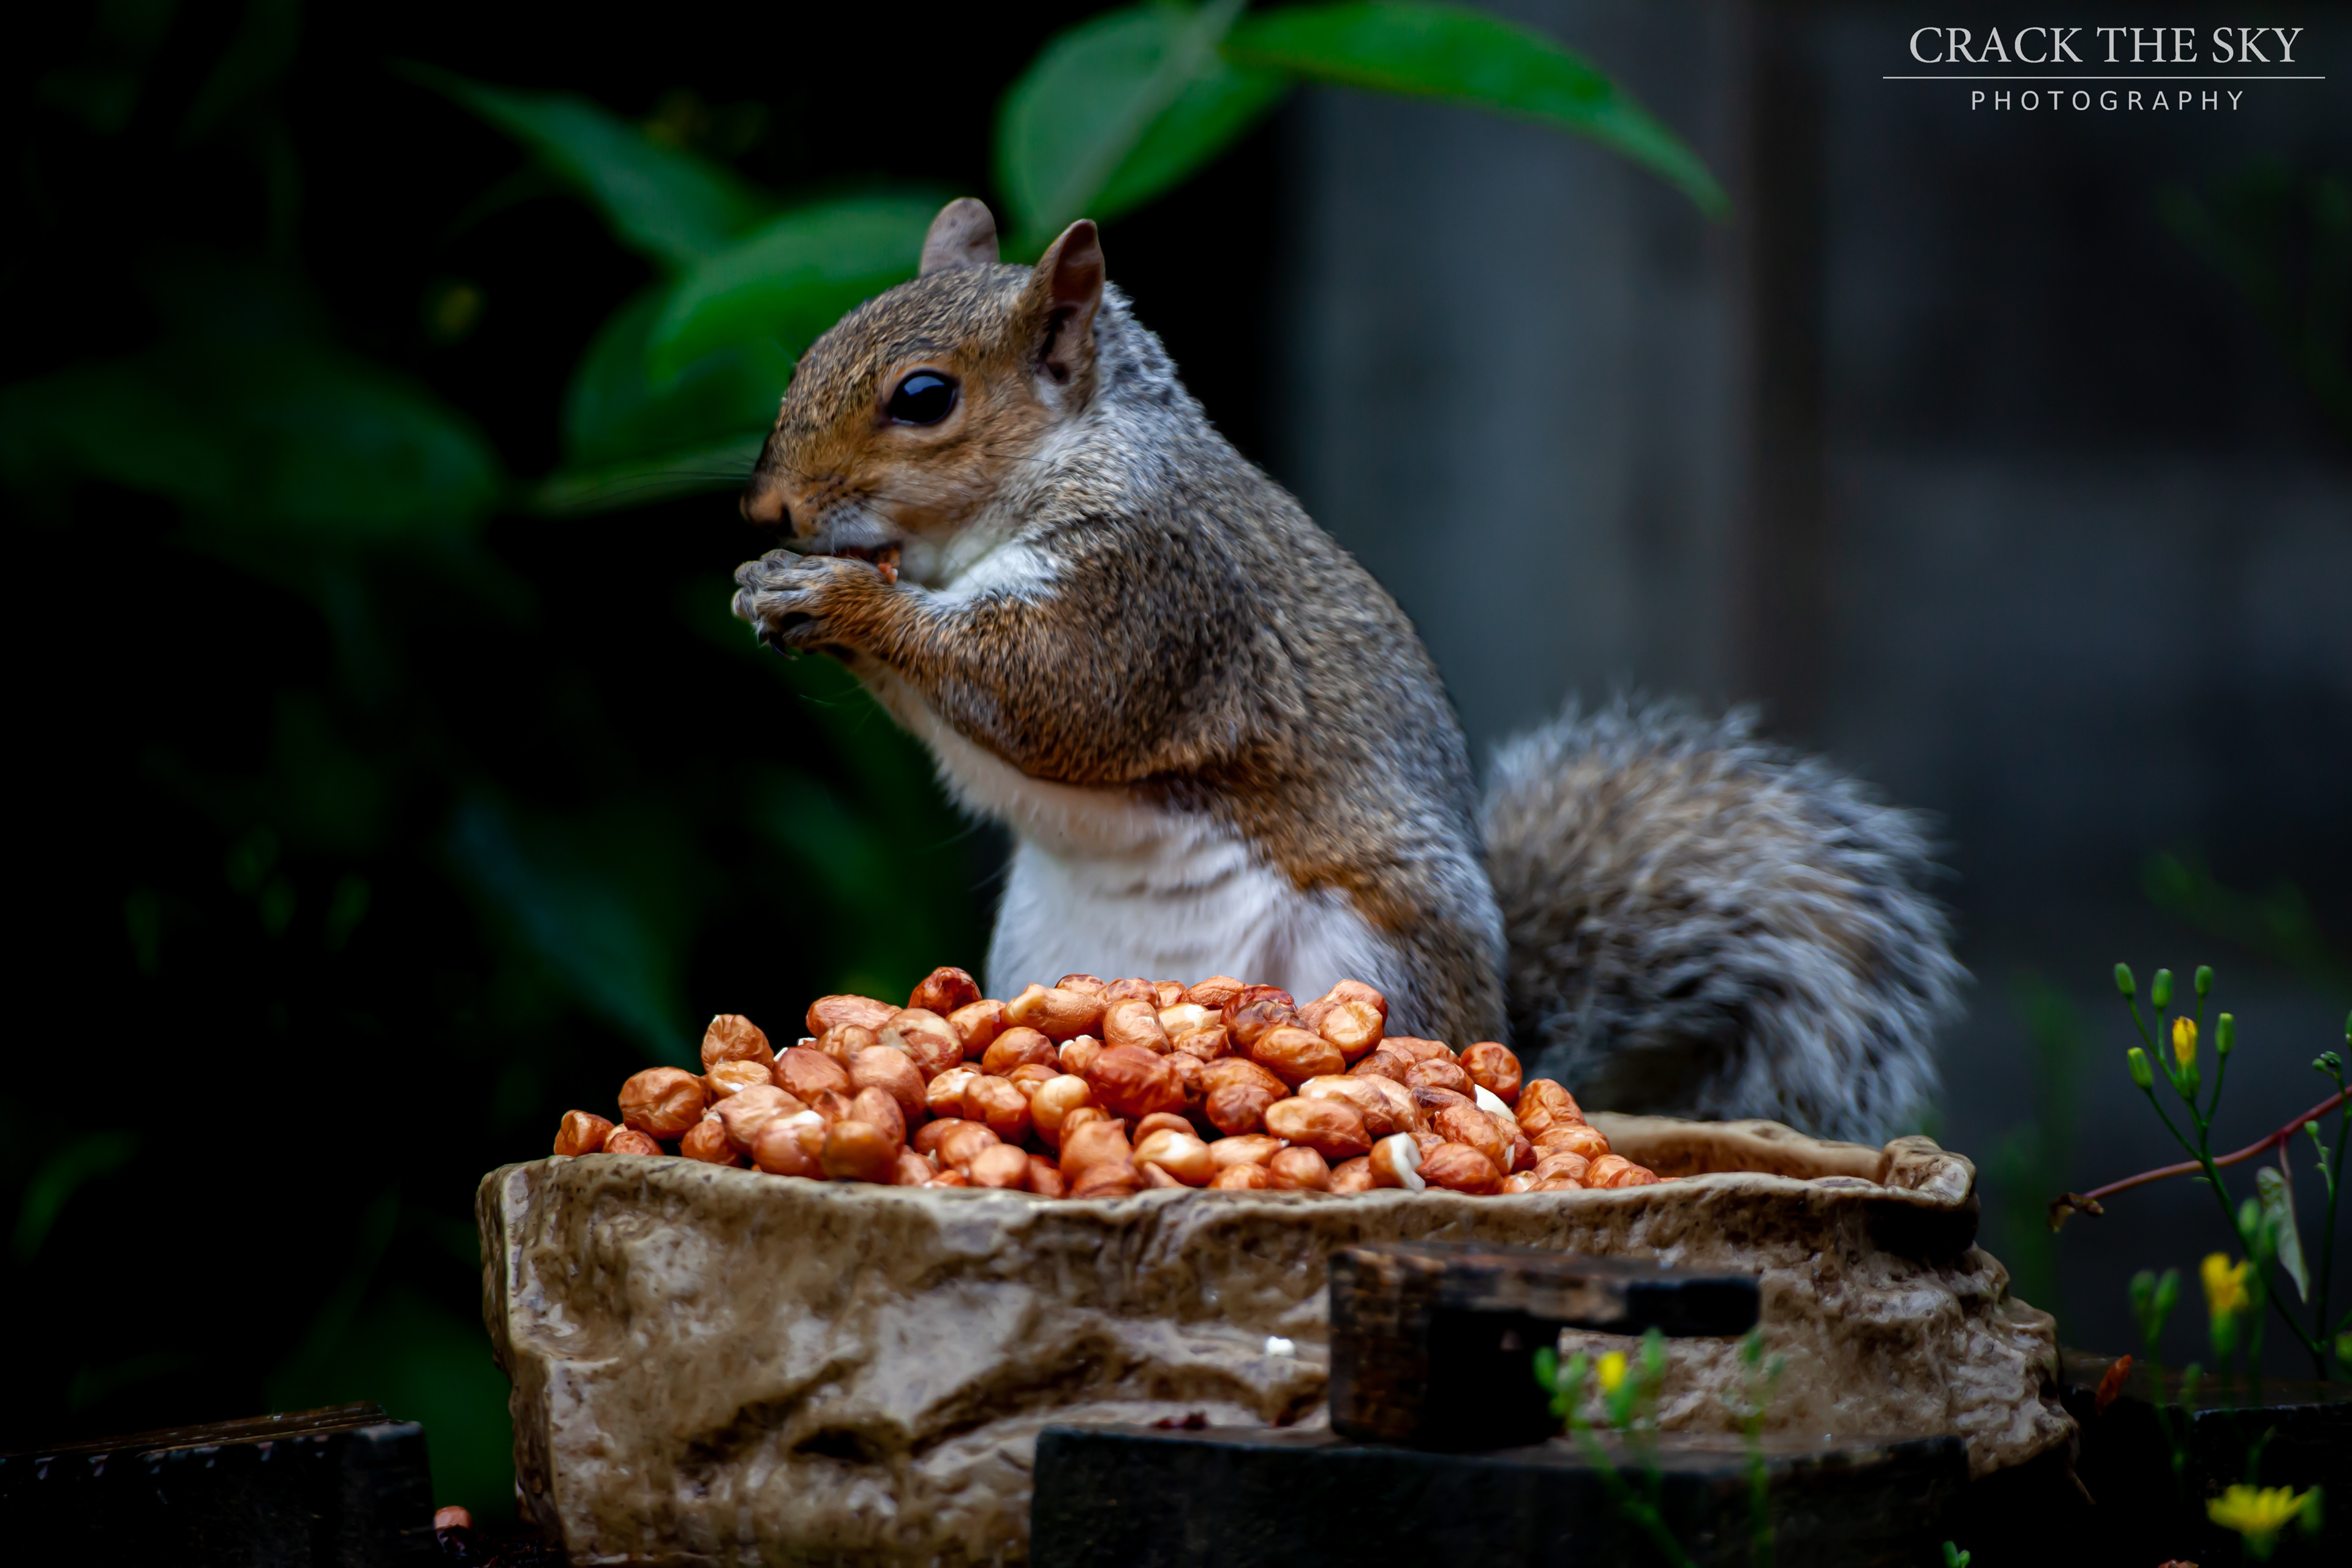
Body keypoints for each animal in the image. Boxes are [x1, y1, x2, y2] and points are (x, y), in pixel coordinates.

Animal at [733, 198, 1963, 1143]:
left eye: (925, 397)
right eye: (811, 352)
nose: (766, 510)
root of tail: (1503, 1035)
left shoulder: (1158, 590)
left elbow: (1053, 693)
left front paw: (838, 599)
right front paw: (765, 586)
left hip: (1370, 962)